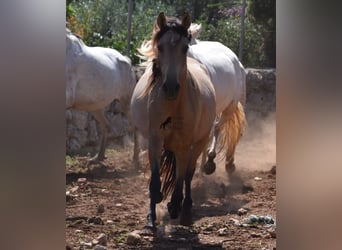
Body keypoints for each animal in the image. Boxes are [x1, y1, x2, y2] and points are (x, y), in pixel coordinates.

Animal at [65, 28, 136, 164]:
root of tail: (126, 59)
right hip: (95, 107)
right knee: (106, 126)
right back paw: (99, 157)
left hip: (127, 102)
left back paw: (136, 160)